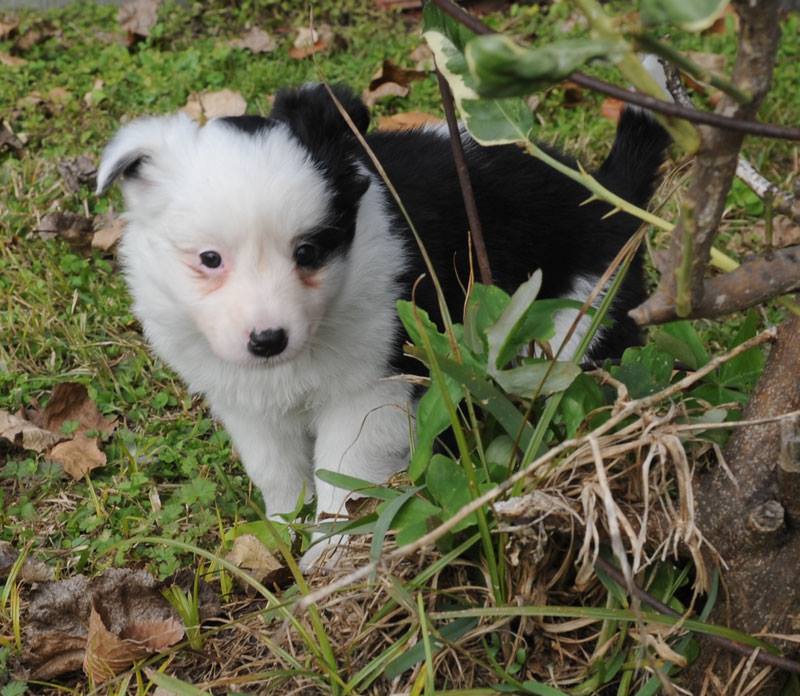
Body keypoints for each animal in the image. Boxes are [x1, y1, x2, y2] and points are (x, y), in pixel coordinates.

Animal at [95, 83, 668, 564]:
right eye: (210, 259)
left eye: (308, 252)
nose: (268, 340)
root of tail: (609, 200)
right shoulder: (245, 400)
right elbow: (277, 469)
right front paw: (283, 531)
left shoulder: (372, 390)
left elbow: (345, 476)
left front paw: (330, 557)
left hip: (578, 323)